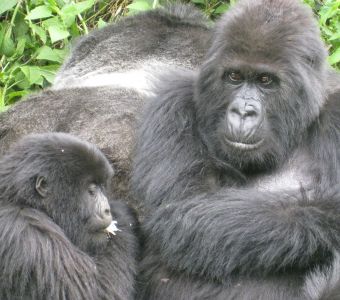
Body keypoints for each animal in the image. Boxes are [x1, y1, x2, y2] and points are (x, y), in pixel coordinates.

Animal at [0, 134, 138, 300]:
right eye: (91, 191)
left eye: (103, 187)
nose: (107, 210)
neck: (23, 201)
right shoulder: (30, 236)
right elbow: (91, 293)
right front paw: (123, 214)